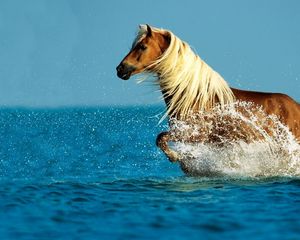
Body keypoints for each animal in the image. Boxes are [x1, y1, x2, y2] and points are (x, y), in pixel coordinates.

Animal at [116, 24, 300, 163]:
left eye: (142, 47)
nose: (120, 69)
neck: (195, 98)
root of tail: (295, 106)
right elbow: (160, 139)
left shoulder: (195, 135)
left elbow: (161, 138)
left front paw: (177, 157)